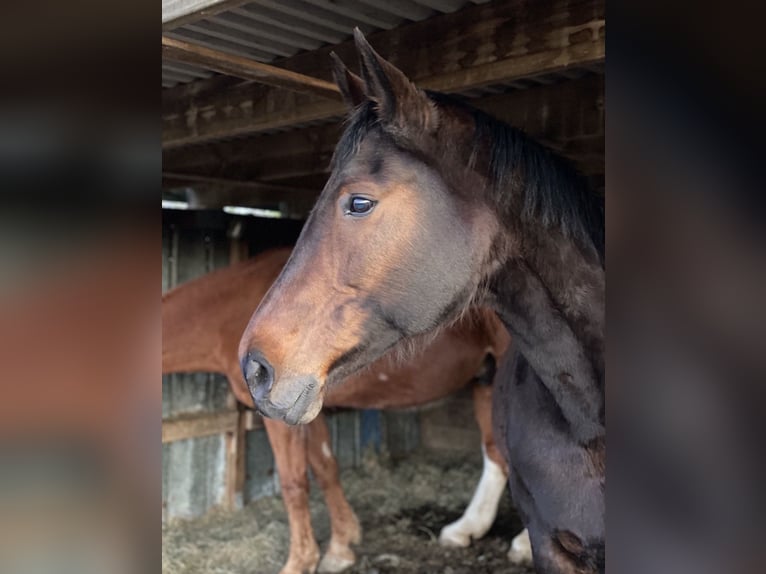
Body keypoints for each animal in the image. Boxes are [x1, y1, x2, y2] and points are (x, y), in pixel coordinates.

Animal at [162, 247, 531, 574]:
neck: (237, 309)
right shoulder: (308, 414)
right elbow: (327, 469)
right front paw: (342, 546)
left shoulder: (280, 418)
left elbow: (293, 483)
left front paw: (300, 562)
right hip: (486, 381)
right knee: (495, 454)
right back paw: (464, 529)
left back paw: (523, 545)